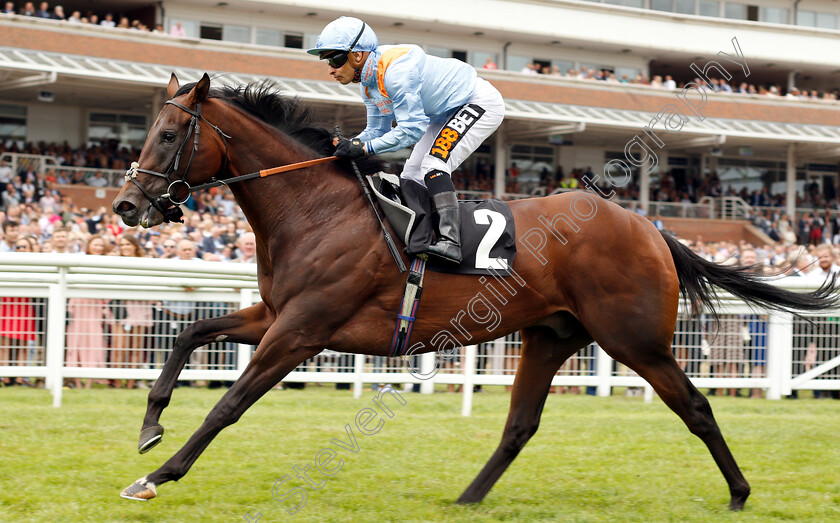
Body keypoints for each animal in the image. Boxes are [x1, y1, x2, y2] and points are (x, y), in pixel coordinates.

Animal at [113, 71, 840, 510]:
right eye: (141, 131)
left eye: (170, 134)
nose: (125, 205)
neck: (317, 207)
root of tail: (651, 227)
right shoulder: (275, 313)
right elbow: (189, 332)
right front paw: (148, 426)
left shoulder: (302, 329)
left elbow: (227, 406)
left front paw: (157, 474)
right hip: (551, 334)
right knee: (520, 423)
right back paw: (467, 498)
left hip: (634, 339)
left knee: (695, 406)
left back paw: (740, 491)